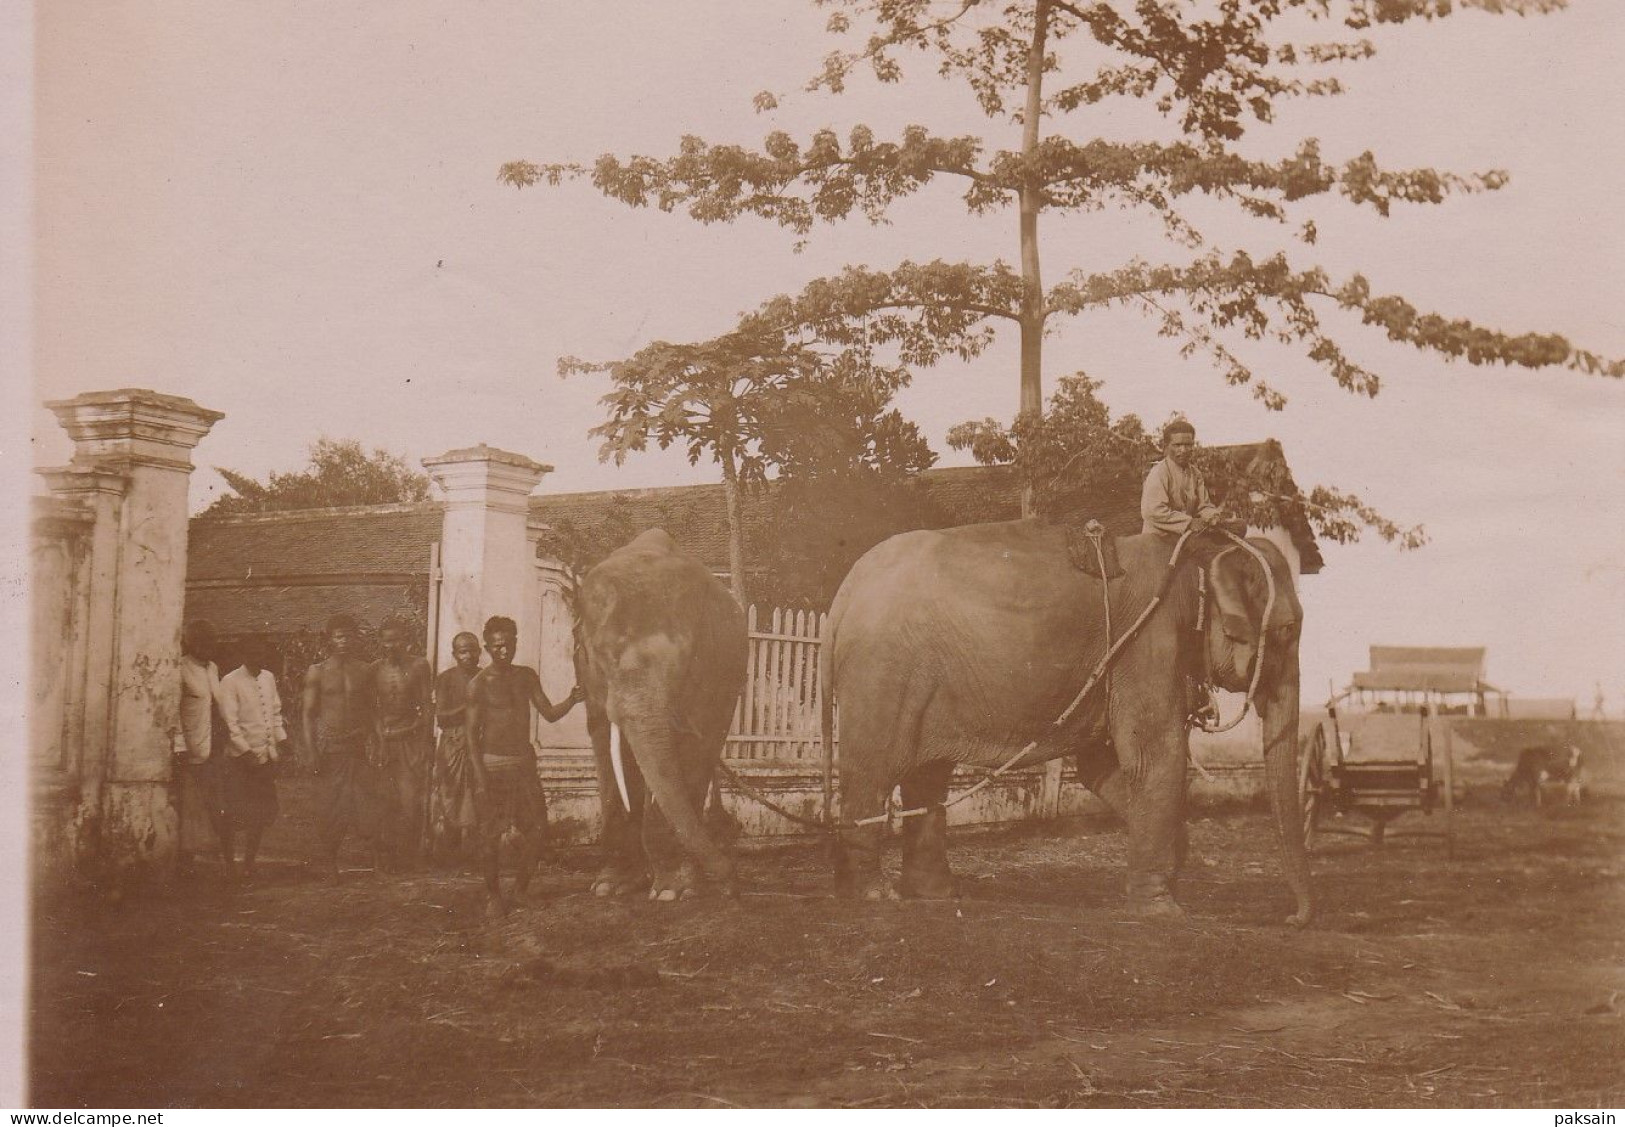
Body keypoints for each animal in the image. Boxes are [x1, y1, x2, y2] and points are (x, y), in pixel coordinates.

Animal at [575, 532, 744, 909]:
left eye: (682, 661)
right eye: (600, 657)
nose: (730, 881)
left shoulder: (709, 672)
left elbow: (694, 748)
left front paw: (672, 892)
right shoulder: (589, 684)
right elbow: (605, 745)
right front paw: (609, 887)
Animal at [819, 519, 1313, 928]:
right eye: (1288, 630)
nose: (1293, 919)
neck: (1195, 555)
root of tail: (845, 591)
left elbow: (1100, 765)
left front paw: (1172, 864)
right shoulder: (1147, 643)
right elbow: (1155, 755)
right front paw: (1163, 910)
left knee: (927, 776)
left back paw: (935, 896)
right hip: (882, 674)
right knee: (874, 773)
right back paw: (873, 895)